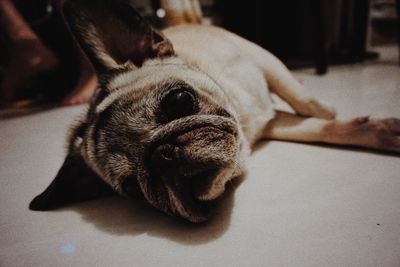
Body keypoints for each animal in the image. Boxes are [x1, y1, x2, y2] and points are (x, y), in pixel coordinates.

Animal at [29, 0, 400, 224]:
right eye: (133, 188)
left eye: (179, 100)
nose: (163, 154)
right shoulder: (271, 124)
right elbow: (315, 129)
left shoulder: (262, 58)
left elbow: (308, 106)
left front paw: (332, 112)